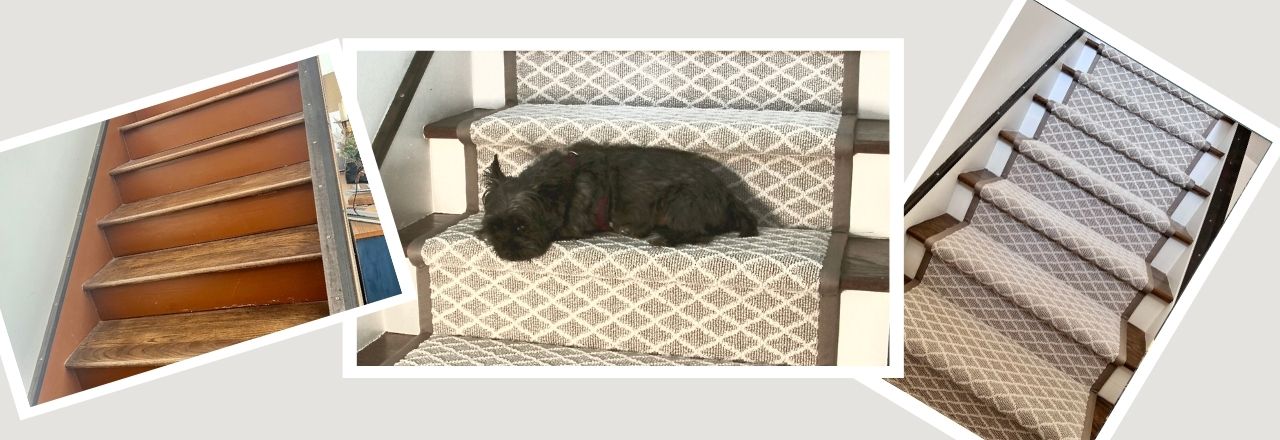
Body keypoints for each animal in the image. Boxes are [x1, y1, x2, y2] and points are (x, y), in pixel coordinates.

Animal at [478, 144, 757, 260]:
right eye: (495, 227)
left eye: (522, 226)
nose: (506, 252)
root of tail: (727, 194)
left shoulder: (571, 227)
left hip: (679, 199)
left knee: (698, 233)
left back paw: (663, 238)